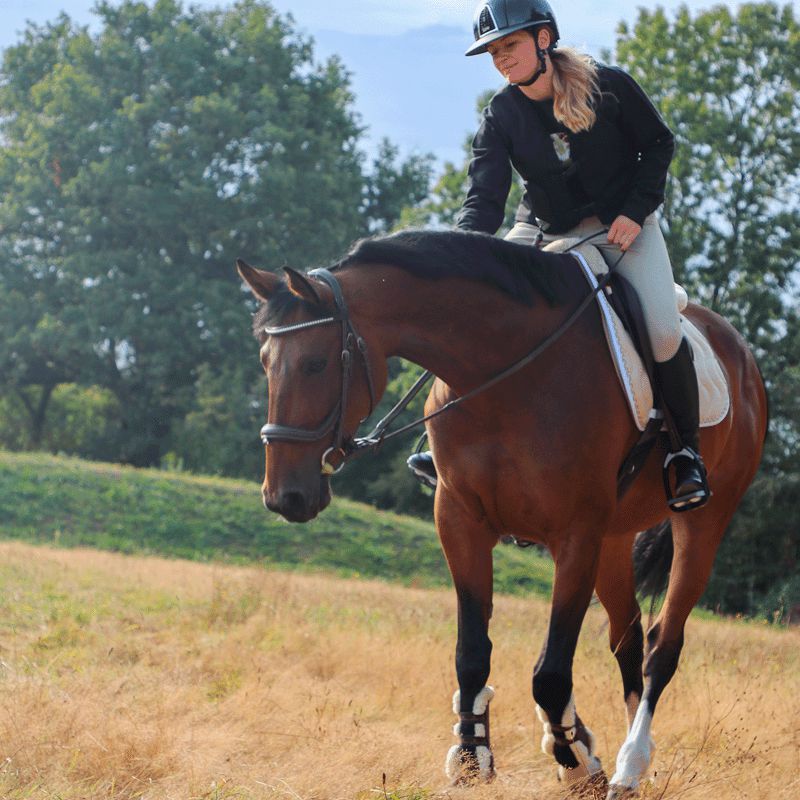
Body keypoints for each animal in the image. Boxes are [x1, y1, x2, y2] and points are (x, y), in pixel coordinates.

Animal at [236, 229, 767, 798]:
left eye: (315, 363)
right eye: (264, 362)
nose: (284, 497)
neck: (501, 371)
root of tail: (741, 354)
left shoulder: (576, 534)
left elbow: (550, 672)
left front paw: (576, 761)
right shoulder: (460, 521)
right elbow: (472, 652)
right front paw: (475, 757)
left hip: (701, 524)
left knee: (661, 645)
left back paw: (628, 766)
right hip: (614, 540)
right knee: (626, 640)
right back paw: (632, 761)